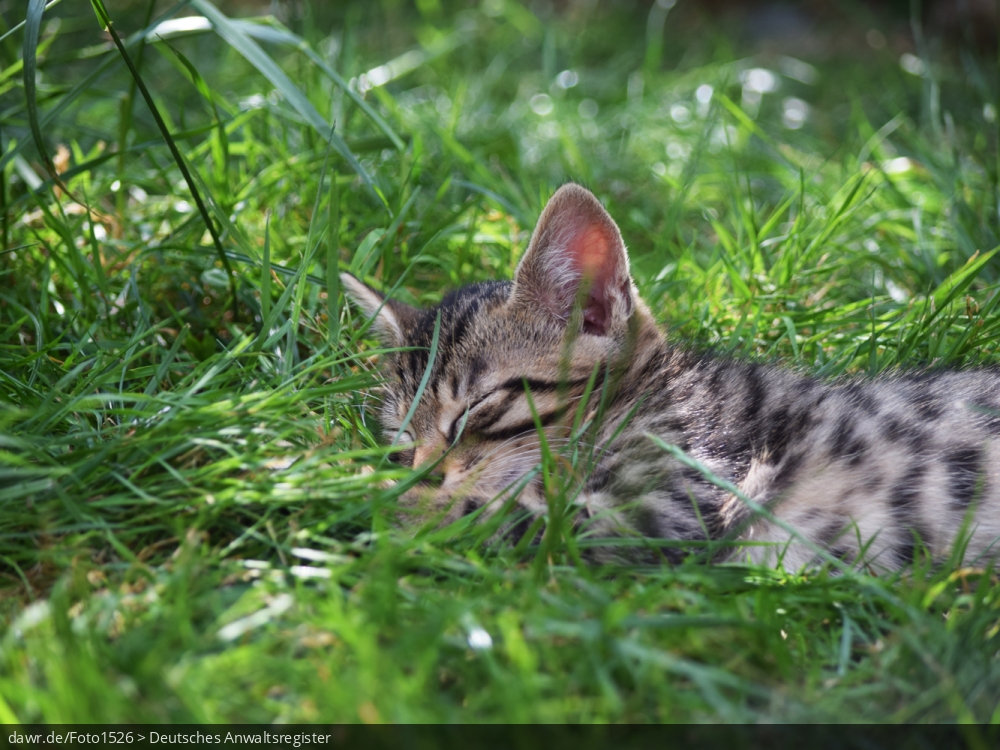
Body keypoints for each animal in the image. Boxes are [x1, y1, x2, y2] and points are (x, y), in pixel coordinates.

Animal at [344, 185, 1000, 572]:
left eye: (477, 408)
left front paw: (347, 495)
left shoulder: (672, 502)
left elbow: (490, 512)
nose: (424, 468)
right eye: (401, 437)